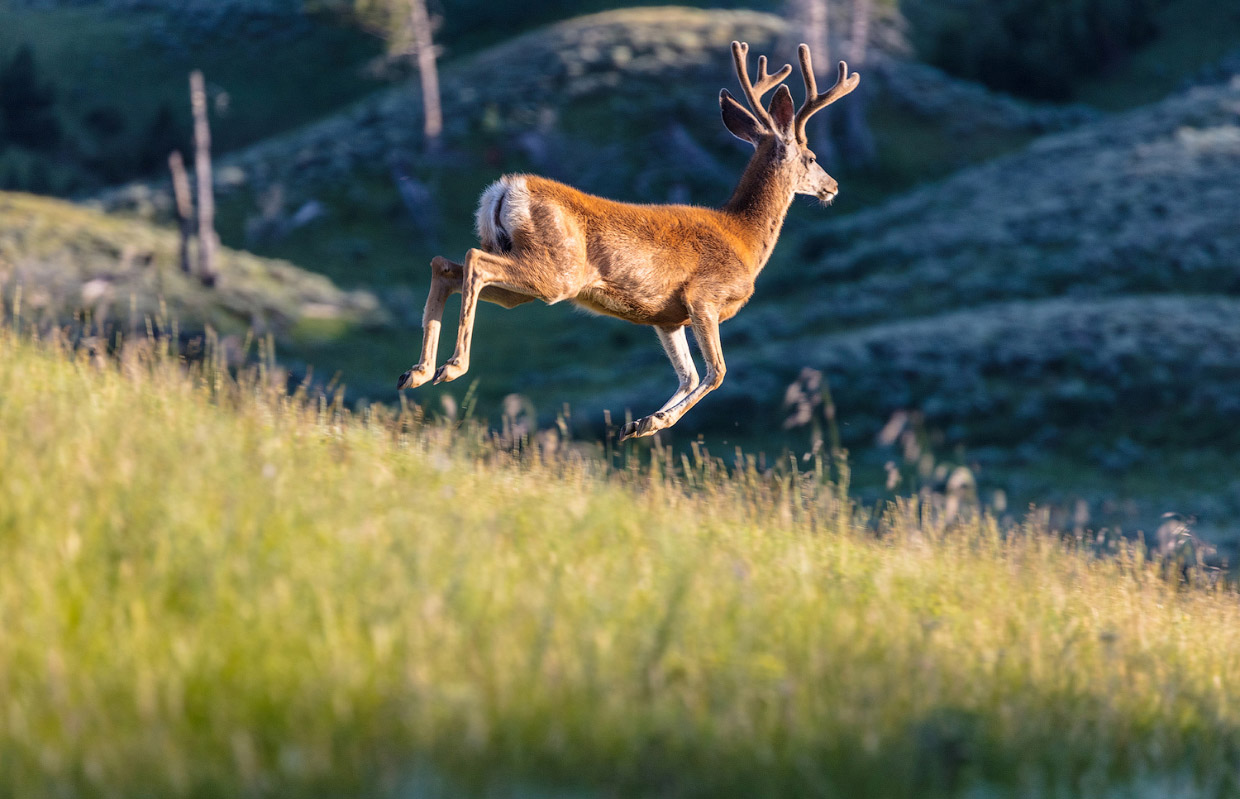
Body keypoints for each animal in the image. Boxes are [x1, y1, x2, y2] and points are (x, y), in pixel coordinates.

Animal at [401, 40, 858, 439]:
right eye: (812, 157)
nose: (833, 186)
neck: (743, 236)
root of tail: (504, 190)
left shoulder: (667, 316)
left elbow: (687, 374)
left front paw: (640, 423)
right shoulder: (704, 296)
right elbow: (717, 372)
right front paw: (655, 421)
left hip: (522, 279)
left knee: (446, 264)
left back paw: (417, 372)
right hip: (556, 272)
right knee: (473, 261)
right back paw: (451, 367)